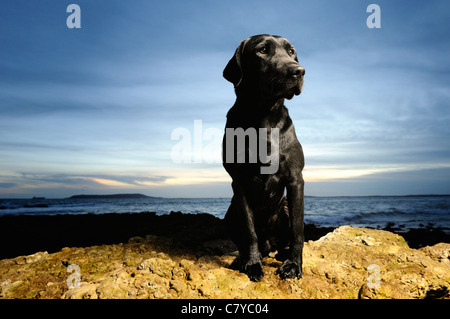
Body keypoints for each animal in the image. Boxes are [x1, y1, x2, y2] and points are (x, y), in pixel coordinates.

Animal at [222, 33, 306, 282]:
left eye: (291, 52)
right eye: (262, 50)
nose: (299, 71)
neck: (264, 117)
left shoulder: (295, 179)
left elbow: (298, 229)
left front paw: (294, 265)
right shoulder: (239, 182)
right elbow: (249, 232)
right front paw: (251, 264)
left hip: (284, 207)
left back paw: (282, 254)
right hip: (230, 214)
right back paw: (245, 257)